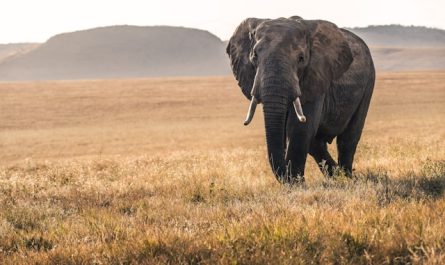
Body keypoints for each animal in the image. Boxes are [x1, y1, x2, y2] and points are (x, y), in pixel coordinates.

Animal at [225, 15, 374, 183]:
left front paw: (296, 184)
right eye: (254, 56)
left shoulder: (316, 76)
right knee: (317, 143)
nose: (287, 176)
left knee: (348, 138)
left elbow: (299, 128)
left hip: (369, 81)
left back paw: (347, 178)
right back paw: (337, 176)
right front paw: (295, 182)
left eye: (301, 58)